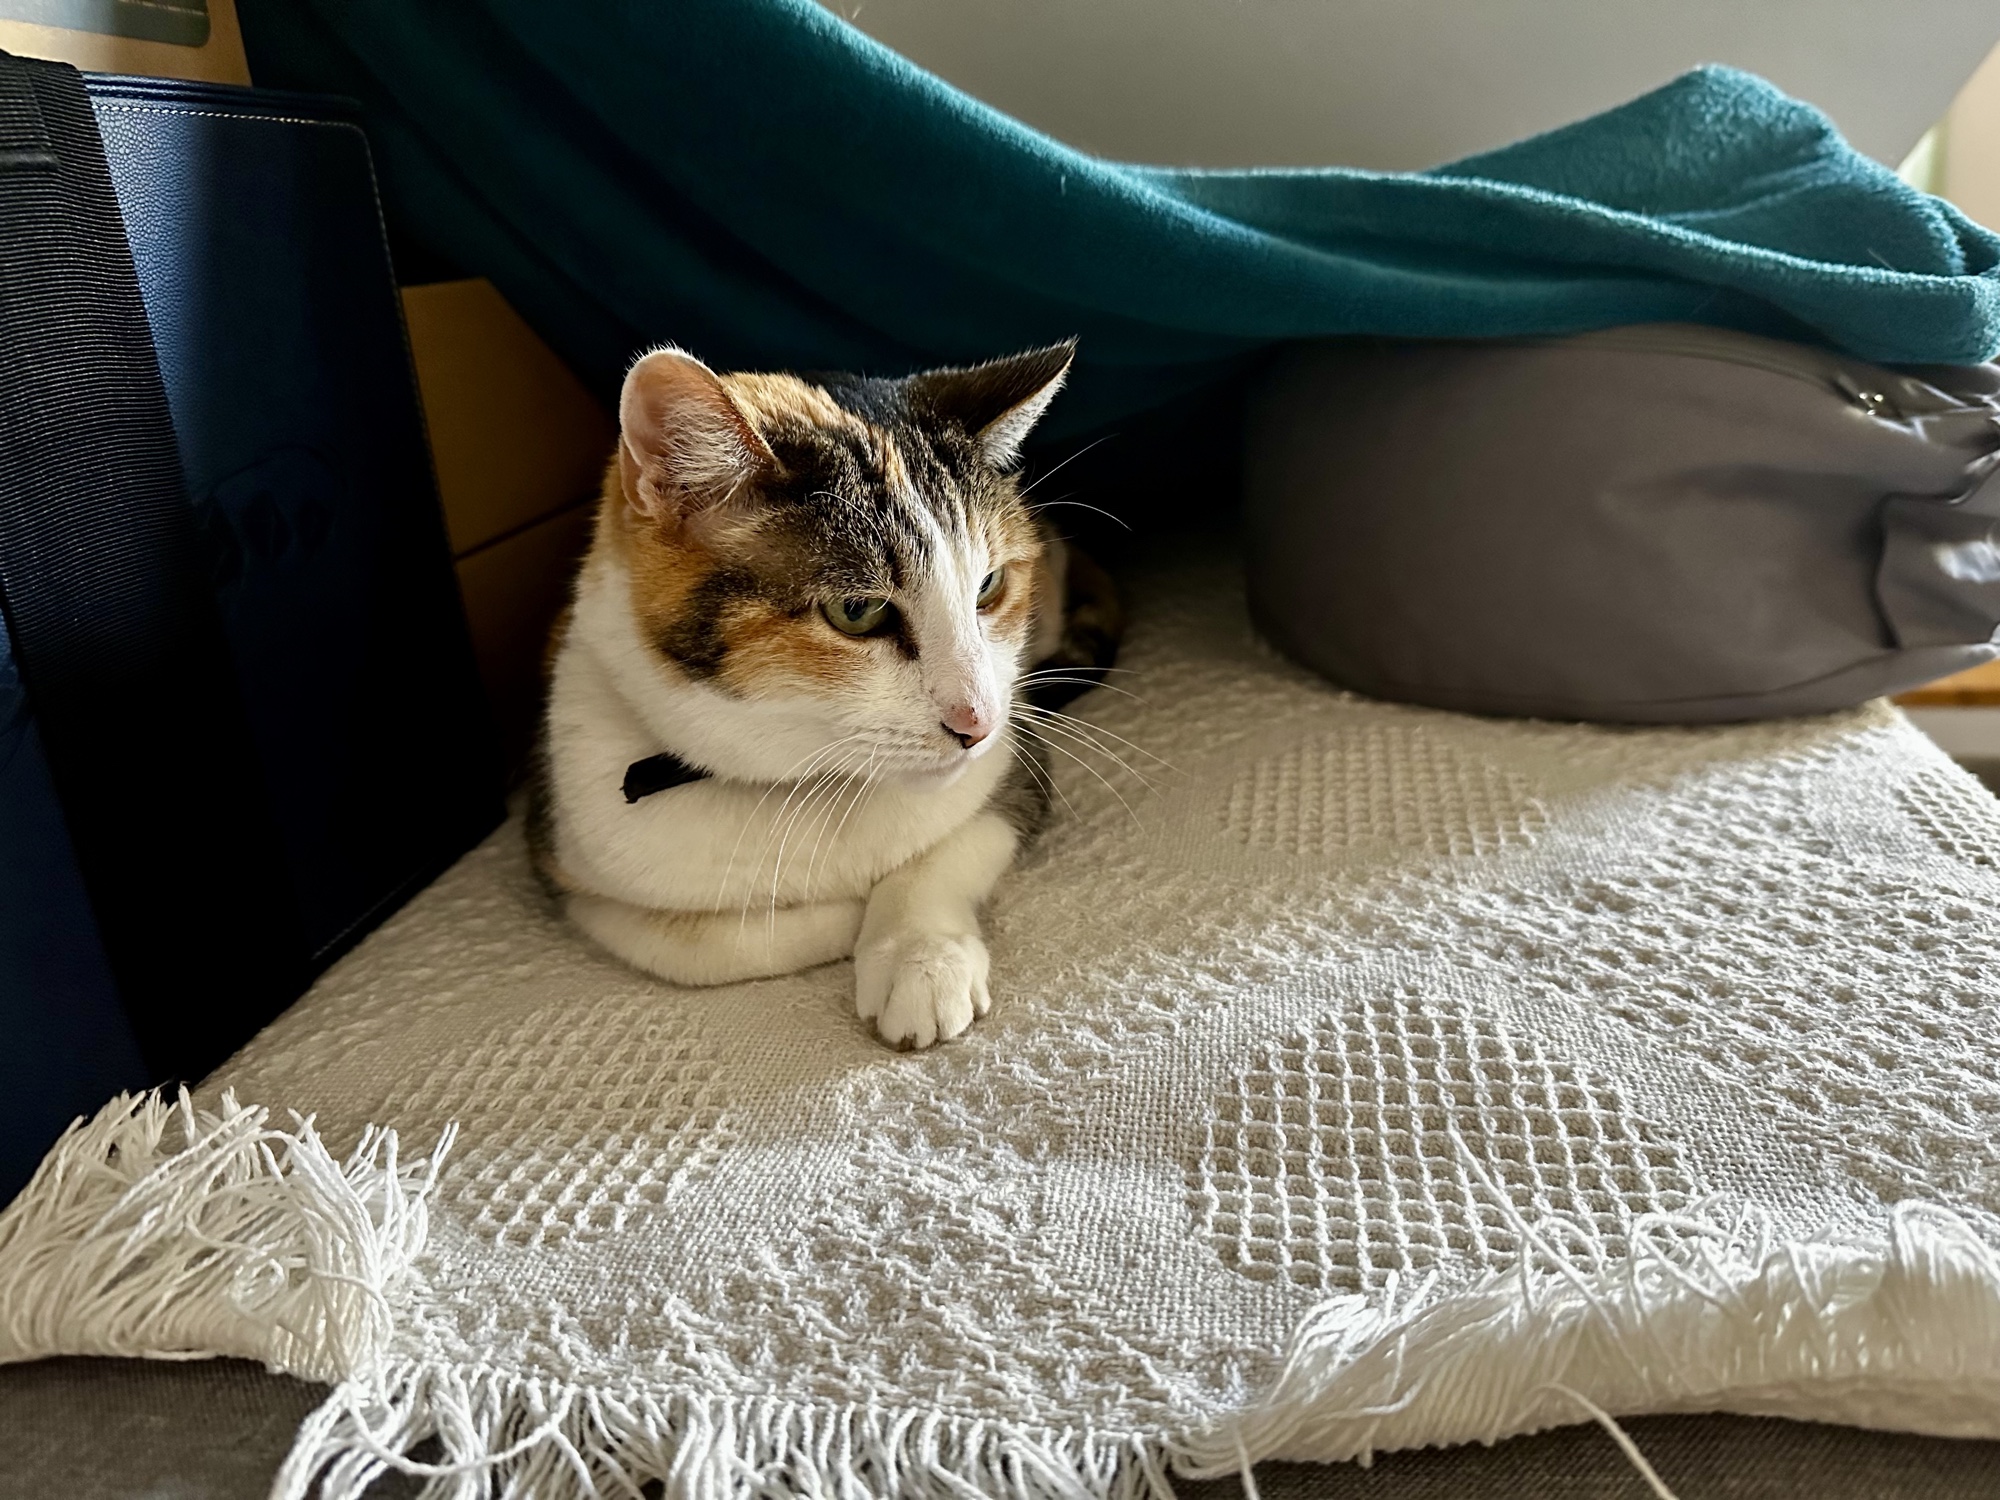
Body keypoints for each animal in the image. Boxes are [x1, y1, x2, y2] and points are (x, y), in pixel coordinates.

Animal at [528, 340, 1120, 1048]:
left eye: (989, 586)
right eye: (856, 611)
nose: (977, 722)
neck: (814, 786)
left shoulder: (1015, 761)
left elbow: (951, 848)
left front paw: (918, 955)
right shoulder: (568, 857)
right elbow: (702, 943)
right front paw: (847, 917)